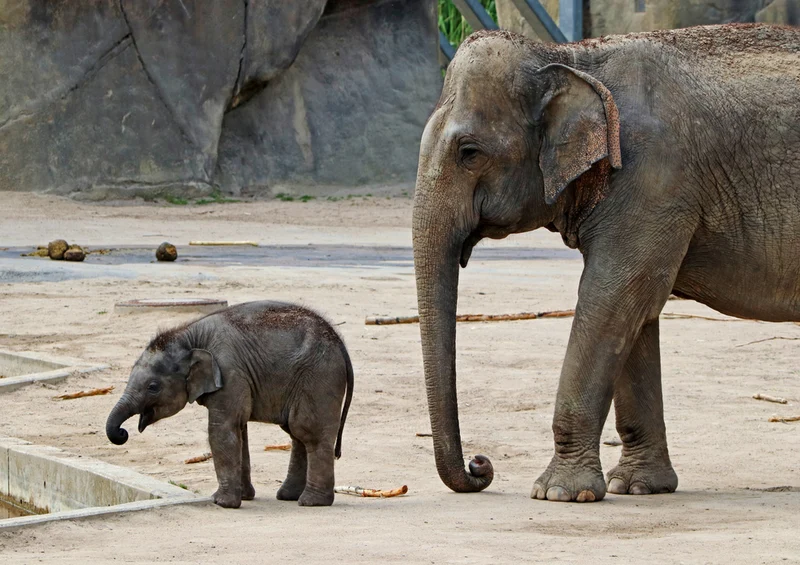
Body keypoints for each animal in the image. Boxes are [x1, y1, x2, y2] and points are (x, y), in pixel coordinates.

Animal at [105, 301, 354, 508]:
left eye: (153, 387)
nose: (122, 433)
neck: (190, 335)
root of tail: (340, 342)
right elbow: (239, 429)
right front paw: (243, 497)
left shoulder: (230, 372)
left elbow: (222, 429)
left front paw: (221, 502)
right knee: (296, 433)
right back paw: (288, 496)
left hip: (318, 377)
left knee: (308, 432)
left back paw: (311, 502)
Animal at [412, 24, 800, 502]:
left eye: (469, 152)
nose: (480, 465)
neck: (571, 58)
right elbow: (636, 313)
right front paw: (636, 487)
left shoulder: (654, 178)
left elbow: (613, 297)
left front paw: (558, 493)